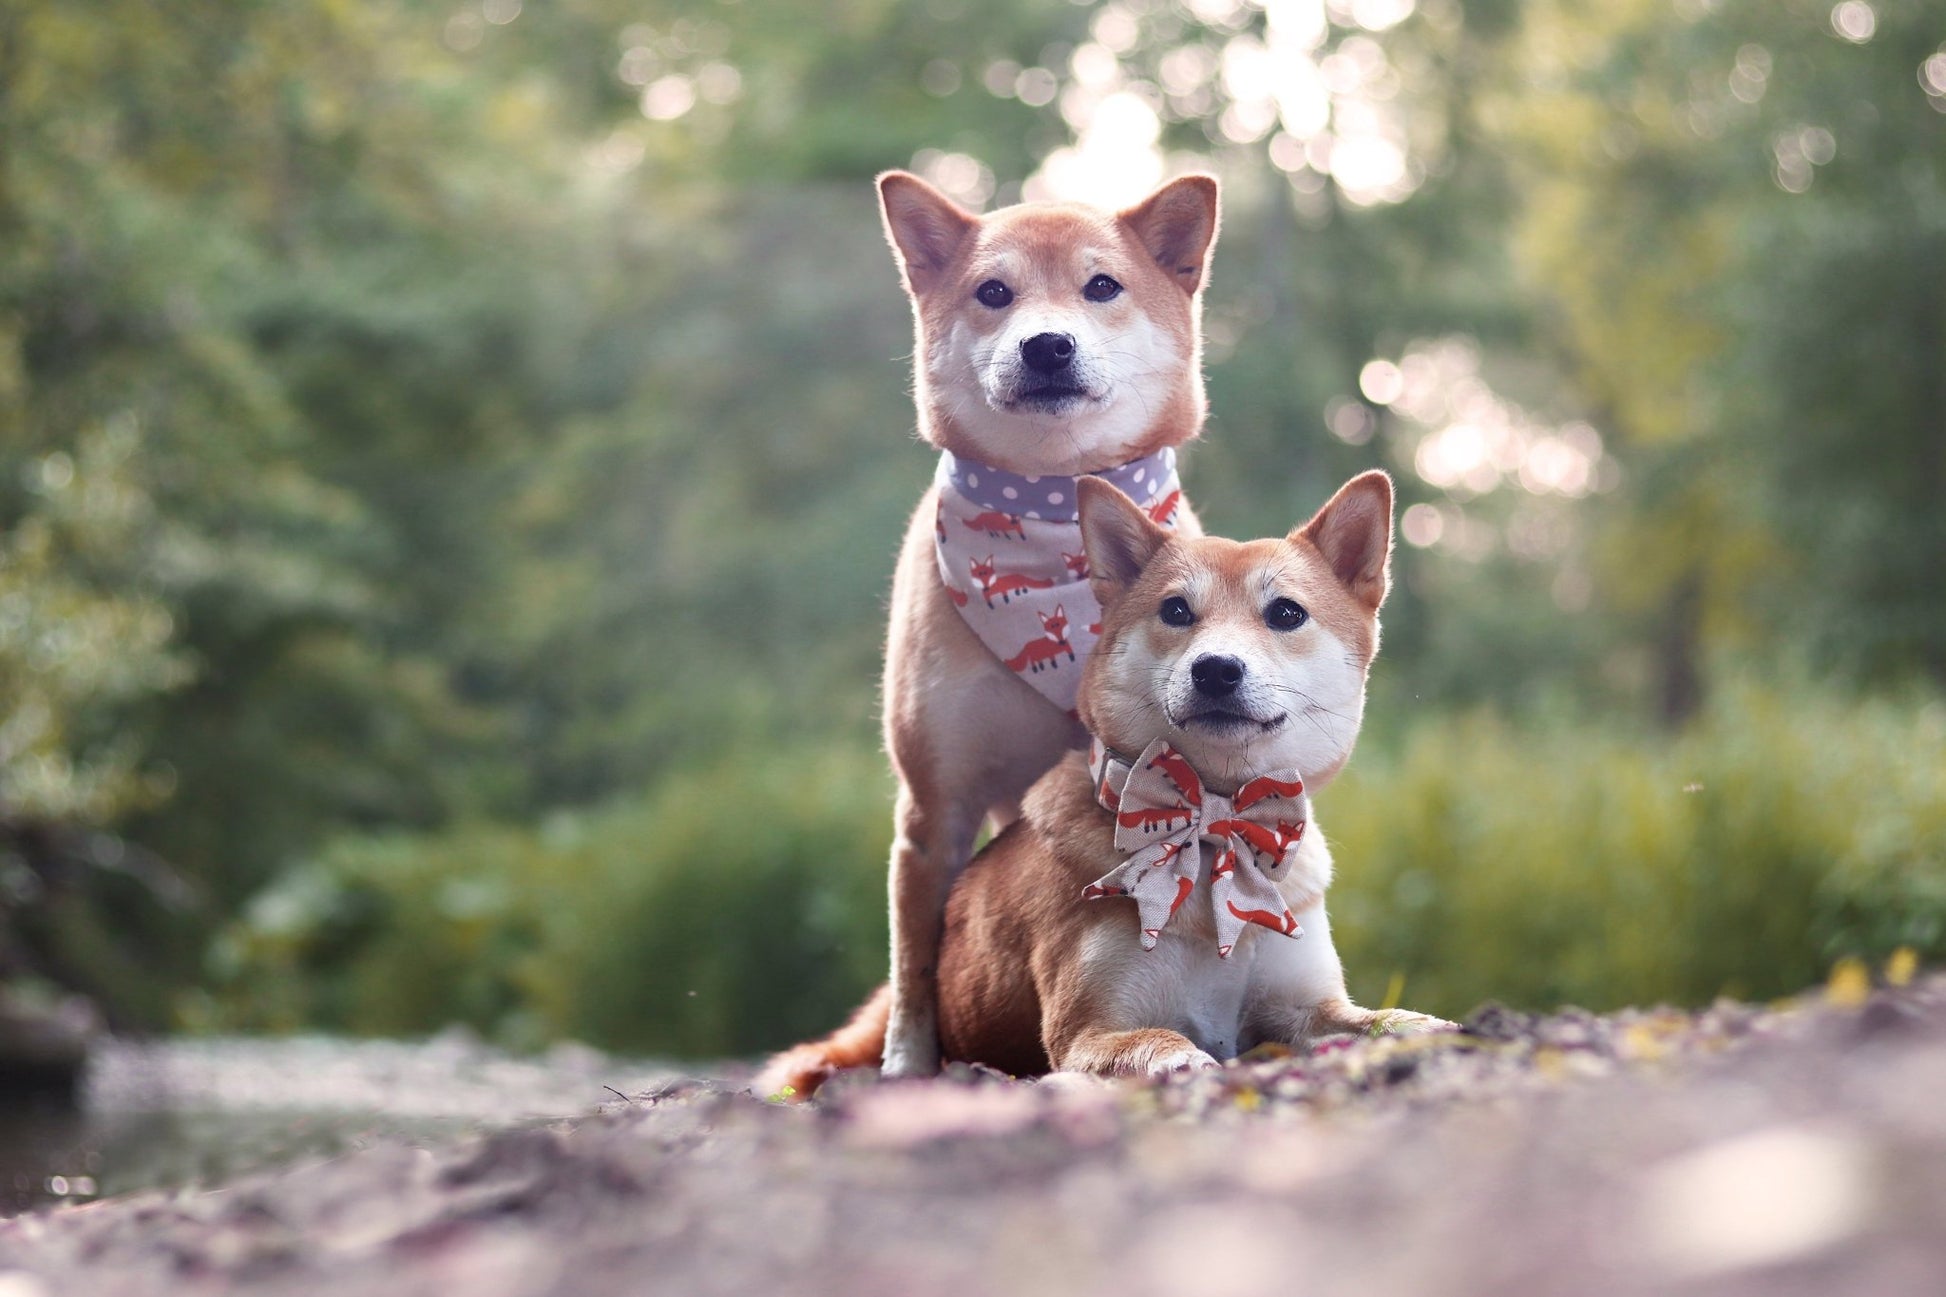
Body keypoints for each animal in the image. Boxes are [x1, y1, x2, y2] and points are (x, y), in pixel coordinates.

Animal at [758, 471, 1447, 1095]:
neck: (1214, 822)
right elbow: (1160, 1040)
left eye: (1286, 613)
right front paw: (1185, 1059)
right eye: (1176, 610)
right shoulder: (1089, 1031)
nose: (1216, 669)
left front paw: (1428, 1026)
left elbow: (1376, 1021)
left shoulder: (1304, 1007)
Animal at [868, 170, 1222, 1076]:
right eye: (994, 293)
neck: (1058, 515)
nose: (1047, 345)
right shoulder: (935, 804)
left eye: (1102, 286)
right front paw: (909, 1065)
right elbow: (915, 963)